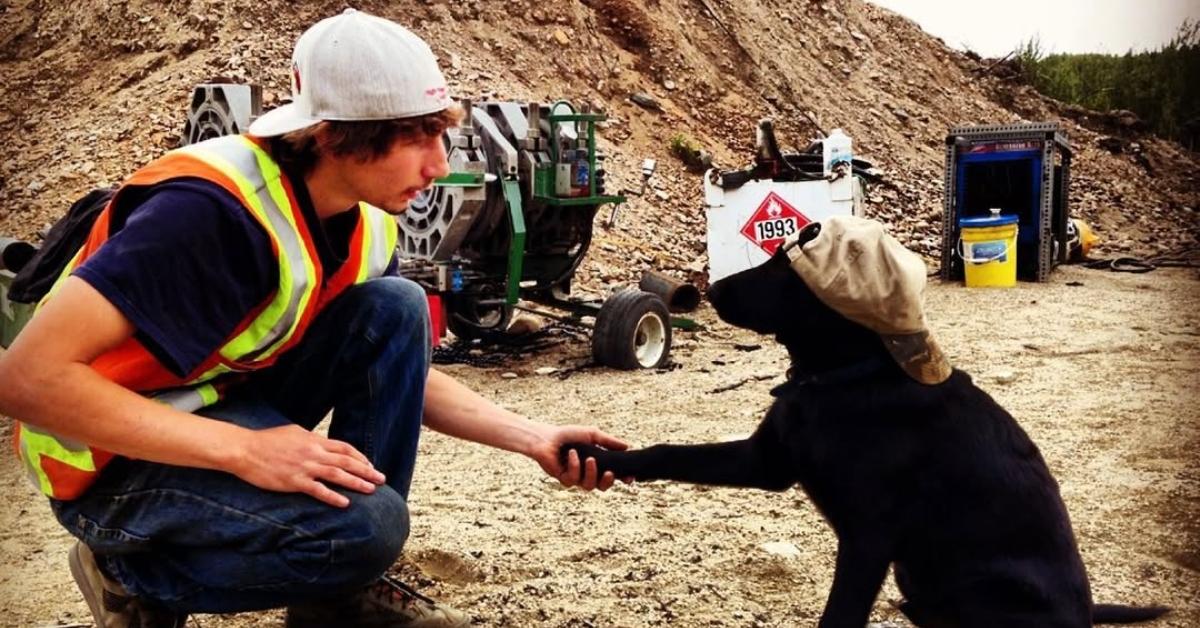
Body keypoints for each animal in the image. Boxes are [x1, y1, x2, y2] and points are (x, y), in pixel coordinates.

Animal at [566, 228, 1166, 624]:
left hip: (979, 587)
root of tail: (1085, 614)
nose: (706, 289)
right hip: (915, 575)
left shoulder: (868, 540)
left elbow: (839, 618)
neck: (837, 379)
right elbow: (665, 450)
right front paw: (594, 456)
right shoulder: (764, 464)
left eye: (786, 270)